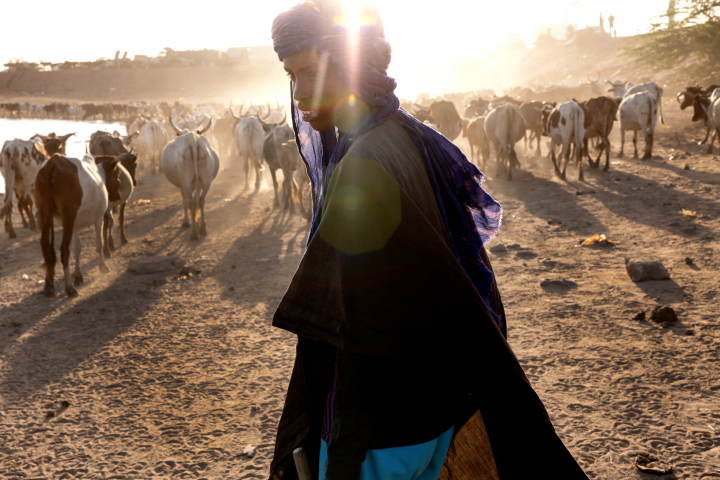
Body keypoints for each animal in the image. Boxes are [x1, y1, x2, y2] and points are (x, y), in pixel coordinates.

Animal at [34, 155, 121, 296]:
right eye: (117, 174)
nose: (118, 196)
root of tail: (52, 162)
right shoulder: (98, 217)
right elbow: (99, 244)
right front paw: (102, 267)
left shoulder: (74, 225)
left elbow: (77, 249)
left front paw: (78, 275)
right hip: (68, 216)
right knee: (64, 249)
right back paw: (69, 288)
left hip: (45, 214)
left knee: (45, 245)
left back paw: (48, 285)